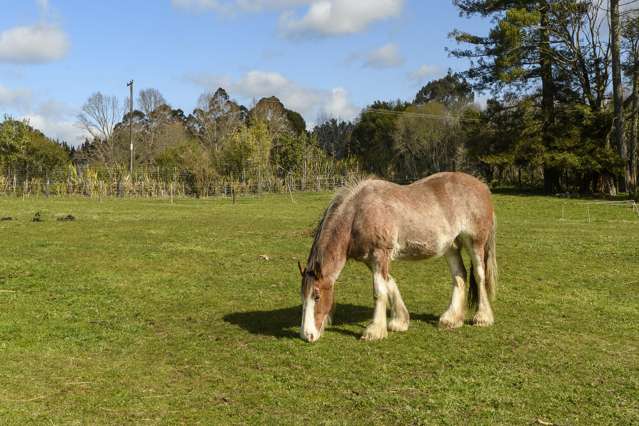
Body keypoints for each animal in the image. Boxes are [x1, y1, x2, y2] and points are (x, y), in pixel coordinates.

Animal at [298, 171, 498, 342]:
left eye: (317, 296)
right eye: (303, 296)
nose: (307, 335)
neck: (358, 213)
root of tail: (482, 186)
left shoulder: (380, 254)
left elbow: (379, 291)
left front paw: (374, 331)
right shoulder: (372, 260)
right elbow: (390, 284)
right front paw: (399, 321)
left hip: (475, 243)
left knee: (479, 275)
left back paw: (482, 318)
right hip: (451, 247)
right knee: (459, 276)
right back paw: (452, 319)